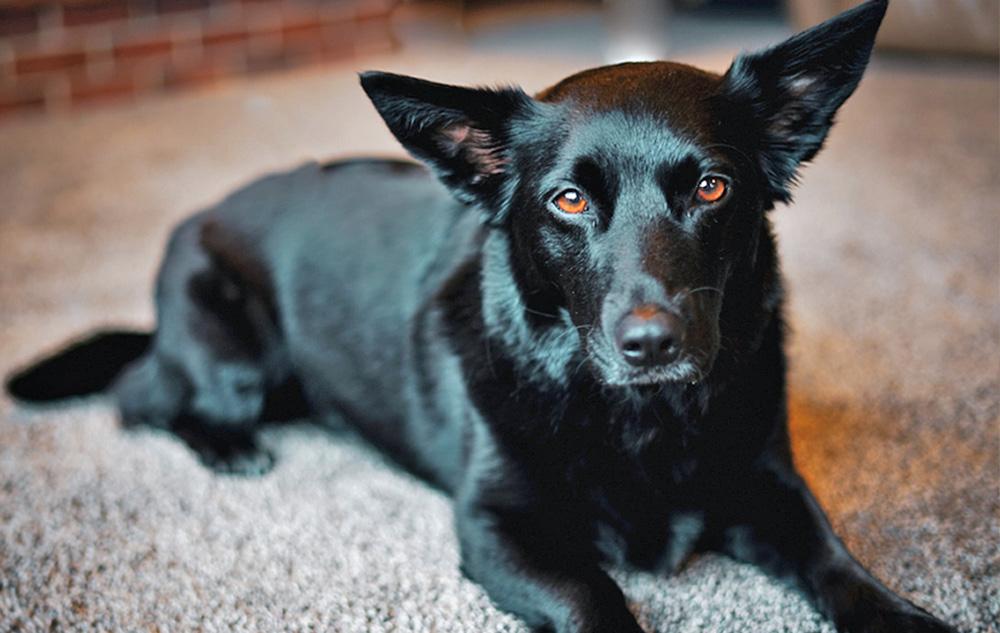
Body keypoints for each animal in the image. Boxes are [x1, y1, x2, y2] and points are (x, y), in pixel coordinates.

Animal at [7, 2, 956, 628]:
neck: (638, 418)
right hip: (232, 360)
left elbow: (836, 561)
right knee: (142, 396)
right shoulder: (498, 527)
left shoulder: (768, 486)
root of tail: (202, 212)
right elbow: (595, 595)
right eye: (569, 199)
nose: (652, 344)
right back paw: (230, 446)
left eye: (714, 188)